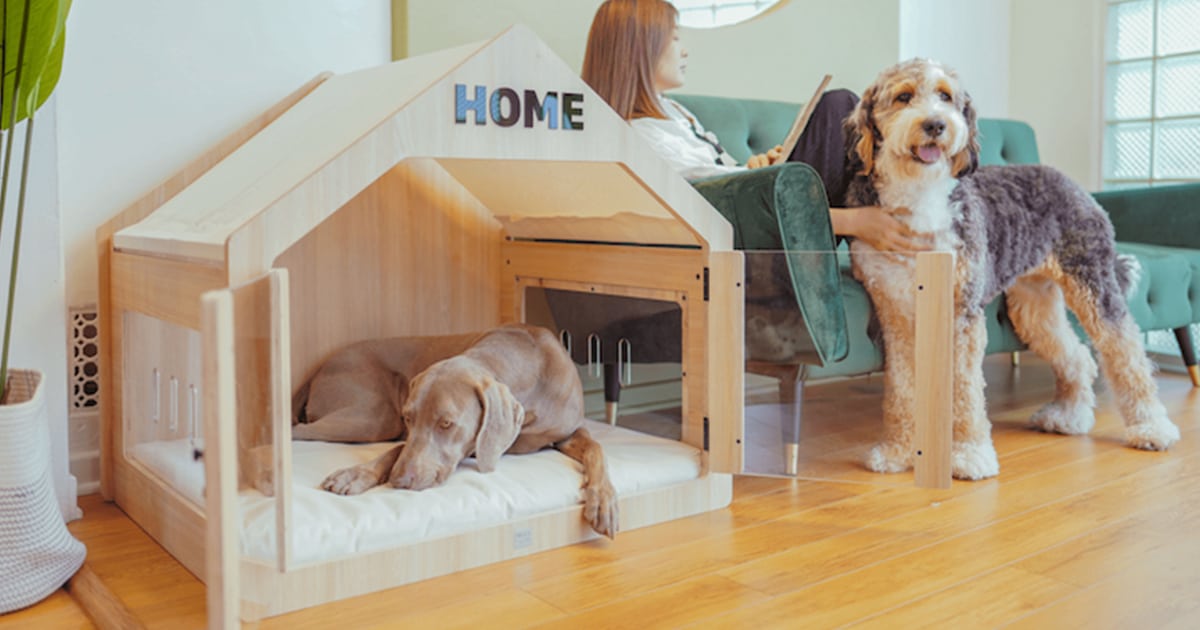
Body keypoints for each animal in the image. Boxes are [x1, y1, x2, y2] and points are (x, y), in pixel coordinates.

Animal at [291, 324, 619, 535]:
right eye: (409, 418)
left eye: (446, 423)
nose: (399, 480)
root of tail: (319, 368)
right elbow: (398, 448)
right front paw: (355, 474)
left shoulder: (568, 432)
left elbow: (597, 448)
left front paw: (603, 500)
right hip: (373, 417)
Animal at [844, 60, 1180, 482]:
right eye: (904, 96)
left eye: (945, 96)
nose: (936, 125)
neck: (919, 195)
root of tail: (1072, 183)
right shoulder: (897, 311)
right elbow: (902, 386)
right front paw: (898, 452)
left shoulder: (963, 312)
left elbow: (966, 389)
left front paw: (970, 456)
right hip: (1033, 306)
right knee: (1077, 356)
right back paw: (1069, 416)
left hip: (1094, 284)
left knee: (1127, 352)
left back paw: (1152, 429)